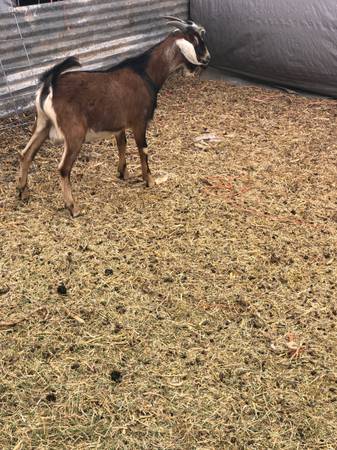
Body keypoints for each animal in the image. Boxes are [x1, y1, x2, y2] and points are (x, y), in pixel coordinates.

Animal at [17, 15, 210, 216]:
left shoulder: (119, 125)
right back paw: (72, 207)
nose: (207, 59)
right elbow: (143, 149)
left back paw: (23, 192)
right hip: (74, 133)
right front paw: (149, 180)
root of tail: (49, 84)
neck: (145, 73)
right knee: (63, 168)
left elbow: (121, 145)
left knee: (25, 154)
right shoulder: (139, 122)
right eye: (196, 40)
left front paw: (123, 173)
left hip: (42, 124)